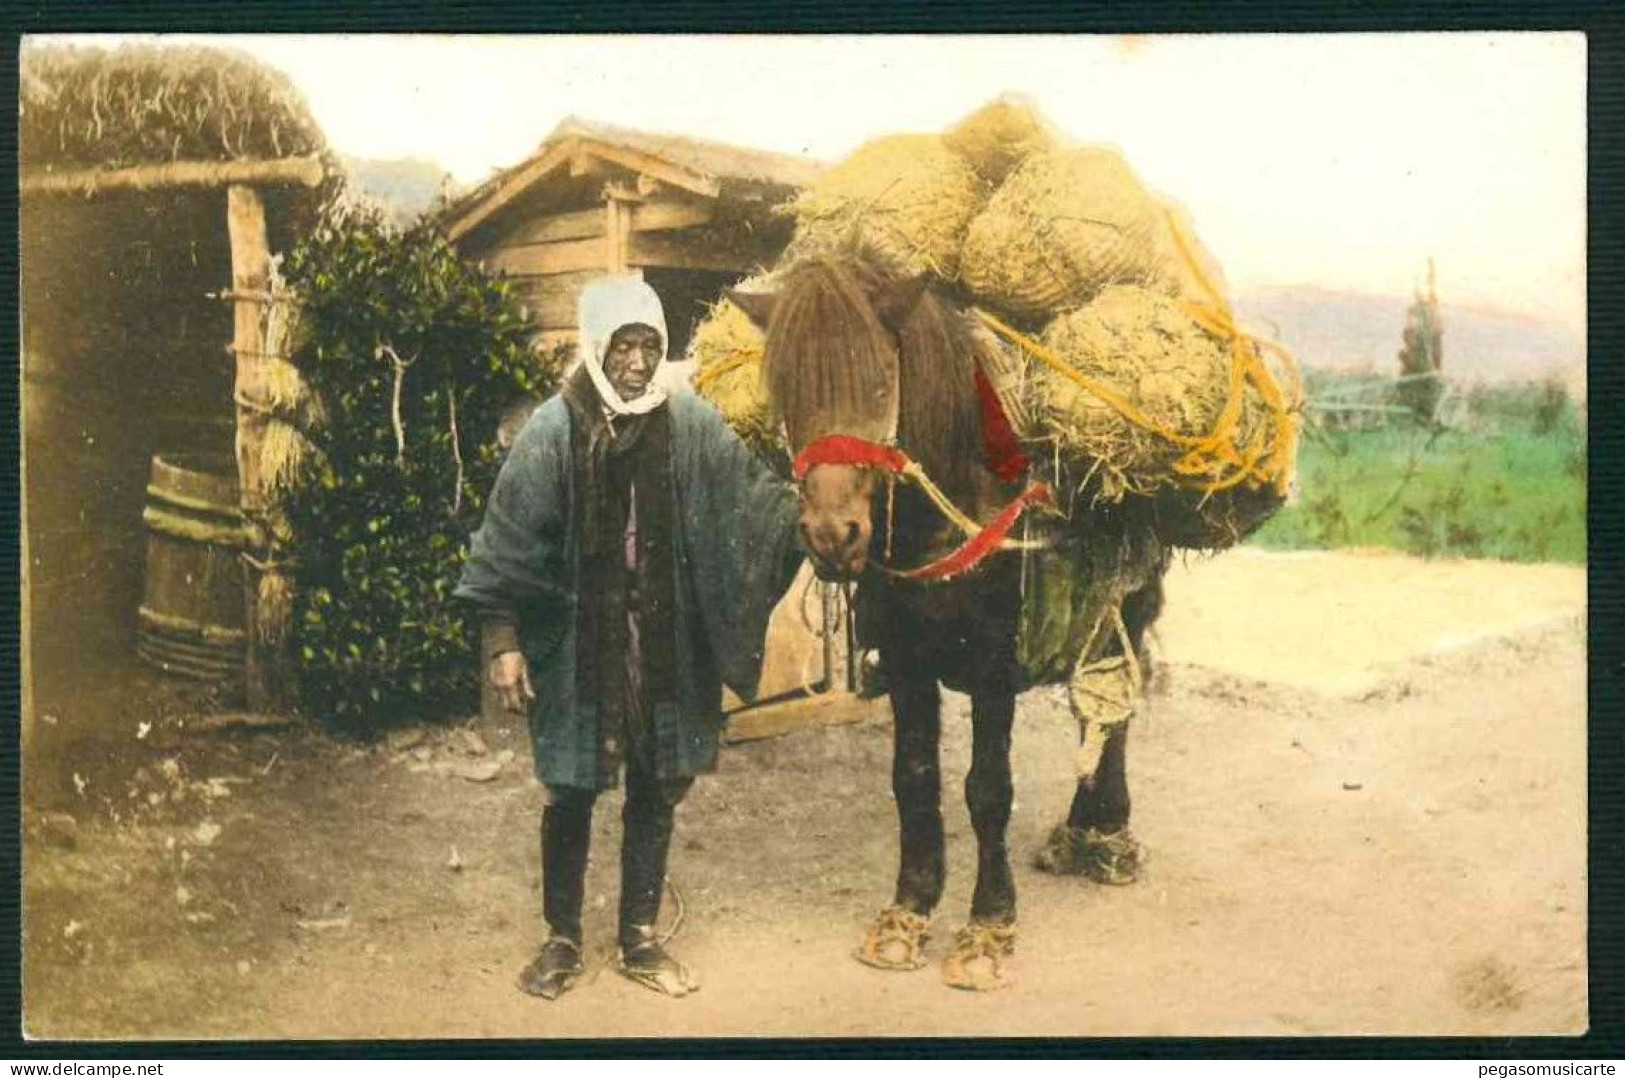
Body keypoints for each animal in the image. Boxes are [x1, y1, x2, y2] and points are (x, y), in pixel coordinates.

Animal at [734, 250, 1170, 988]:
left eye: (881, 380)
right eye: (787, 388)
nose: (832, 536)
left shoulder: (995, 666)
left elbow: (987, 789)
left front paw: (987, 928)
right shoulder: (906, 660)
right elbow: (912, 778)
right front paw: (907, 911)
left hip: (1130, 607)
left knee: (1114, 710)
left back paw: (1108, 835)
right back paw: (1078, 832)